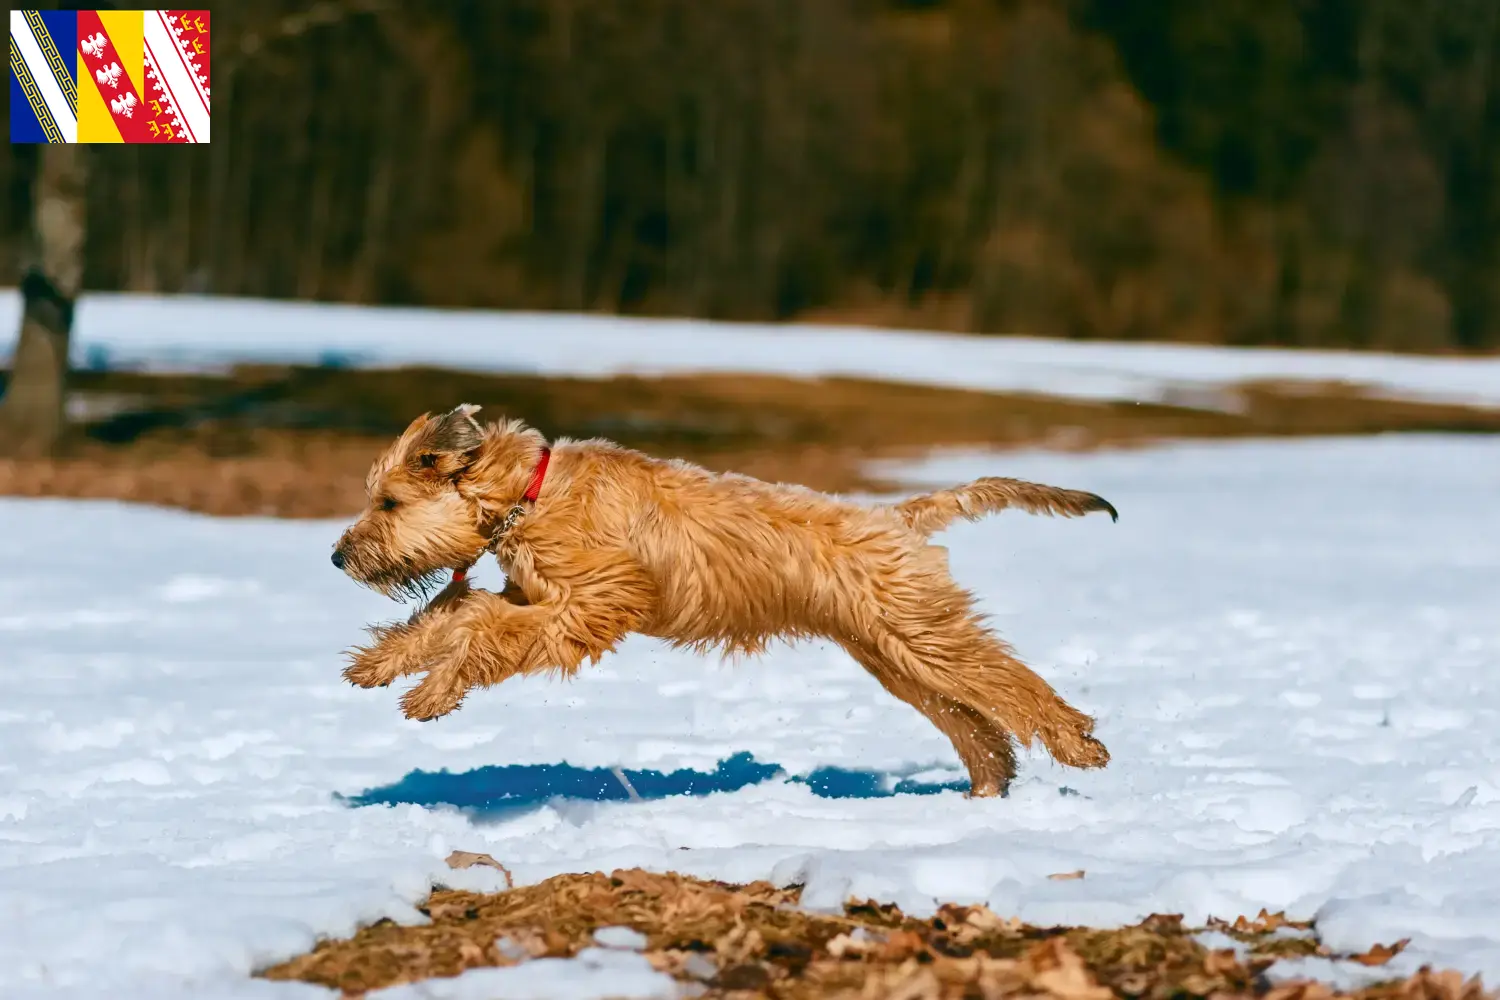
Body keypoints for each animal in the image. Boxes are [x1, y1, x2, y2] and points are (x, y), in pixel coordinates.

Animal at [337, 407, 1116, 797]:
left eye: (389, 502)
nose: (338, 555)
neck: (530, 492)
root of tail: (897, 517)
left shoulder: (596, 602)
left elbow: (484, 627)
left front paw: (433, 690)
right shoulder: (536, 593)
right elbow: (456, 613)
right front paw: (380, 665)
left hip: (921, 636)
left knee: (1011, 687)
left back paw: (1078, 746)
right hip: (894, 655)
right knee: (976, 721)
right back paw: (988, 790)